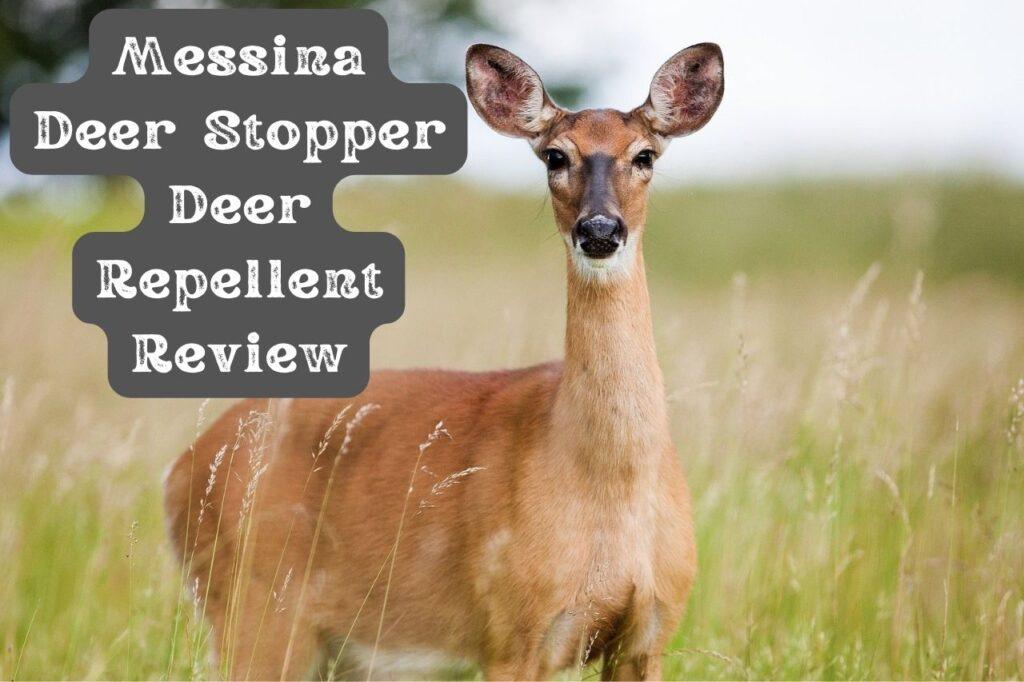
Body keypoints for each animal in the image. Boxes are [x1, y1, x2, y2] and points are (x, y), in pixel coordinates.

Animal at [164, 42, 724, 681]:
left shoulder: (651, 630)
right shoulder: (512, 629)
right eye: (554, 155)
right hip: (255, 611)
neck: (611, 486)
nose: (600, 229)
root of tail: (179, 470)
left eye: (645, 155)